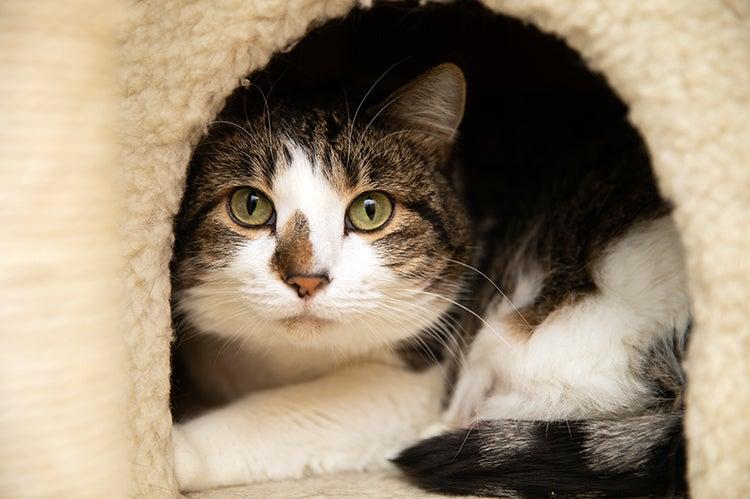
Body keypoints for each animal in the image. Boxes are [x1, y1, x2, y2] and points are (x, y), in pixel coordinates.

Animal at [172, 63, 692, 496]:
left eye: (371, 210)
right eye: (250, 206)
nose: (307, 279)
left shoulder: (415, 380)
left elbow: (290, 412)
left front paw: (177, 451)